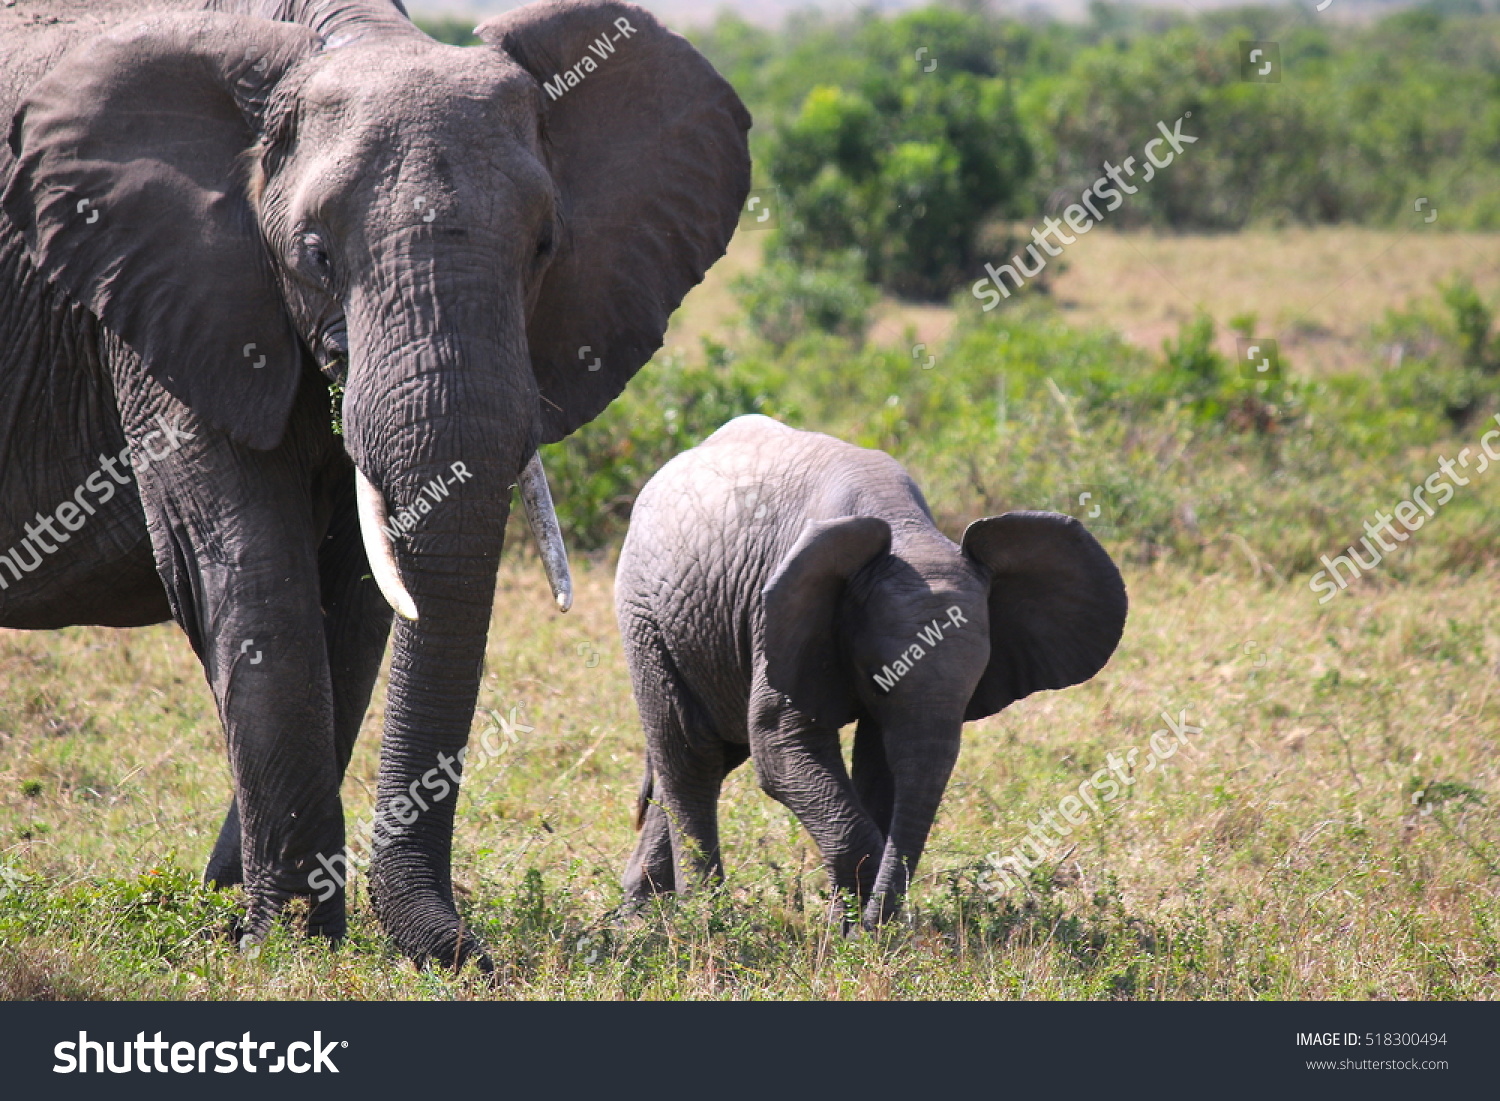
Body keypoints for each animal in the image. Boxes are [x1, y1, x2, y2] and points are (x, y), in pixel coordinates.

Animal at [0, 0, 750, 966]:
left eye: (545, 246)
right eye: (317, 254)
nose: (467, 950)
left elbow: (356, 611)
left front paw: (247, 920)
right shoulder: (161, 296)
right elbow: (248, 579)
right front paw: (284, 942)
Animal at [612, 417, 1128, 930]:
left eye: (974, 688)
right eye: (876, 678)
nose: (880, 925)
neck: (908, 534)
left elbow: (881, 766)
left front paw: (855, 928)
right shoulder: (780, 617)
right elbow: (780, 747)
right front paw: (856, 929)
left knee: (717, 751)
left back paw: (641, 913)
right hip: (645, 616)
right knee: (691, 752)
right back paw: (704, 918)